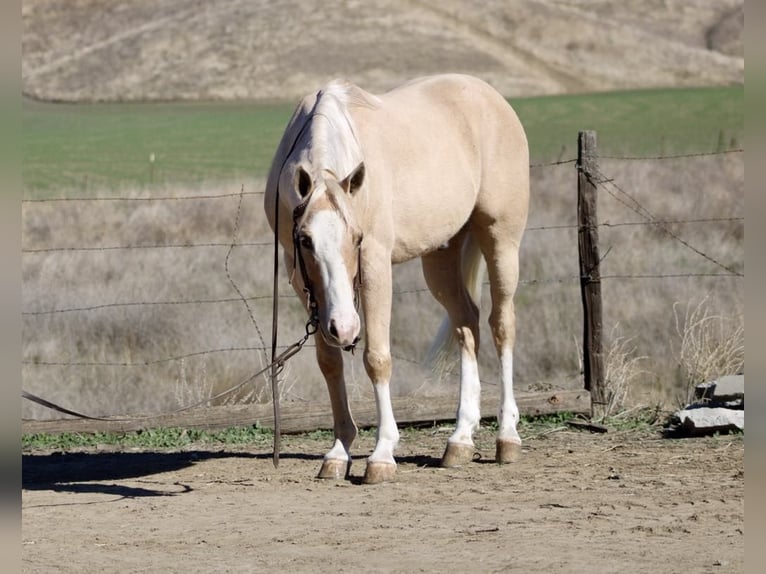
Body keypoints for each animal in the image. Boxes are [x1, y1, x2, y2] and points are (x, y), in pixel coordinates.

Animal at [264, 74, 529, 484]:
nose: (344, 327)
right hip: (441, 256)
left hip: (500, 240)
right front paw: (339, 451)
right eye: (306, 240)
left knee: (501, 325)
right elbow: (329, 361)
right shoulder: (300, 278)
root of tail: (490, 97)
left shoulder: (375, 265)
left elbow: (377, 358)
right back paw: (460, 440)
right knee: (467, 325)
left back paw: (507, 436)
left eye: (356, 238)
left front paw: (382, 454)